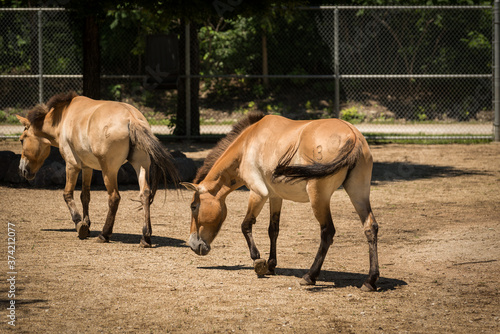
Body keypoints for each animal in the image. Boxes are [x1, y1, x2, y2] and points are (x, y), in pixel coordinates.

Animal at [16, 92, 179, 248]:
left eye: (22, 140)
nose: (22, 170)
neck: (64, 117)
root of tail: (132, 118)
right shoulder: (87, 167)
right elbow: (85, 196)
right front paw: (87, 224)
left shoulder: (72, 165)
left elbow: (67, 194)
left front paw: (79, 224)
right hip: (141, 165)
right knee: (145, 194)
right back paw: (145, 237)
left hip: (109, 171)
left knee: (114, 198)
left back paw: (104, 234)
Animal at [182, 111, 380, 290]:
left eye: (193, 206)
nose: (193, 245)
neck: (247, 143)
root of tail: (353, 136)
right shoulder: (275, 196)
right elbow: (273, 230)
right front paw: (271, 265)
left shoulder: (258, 193)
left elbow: (245, 225)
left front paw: (258, 261)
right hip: (358, 193)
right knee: (370, 228)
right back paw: (370, 281)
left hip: (319, 197)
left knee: (327, 231)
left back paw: (310, 276)